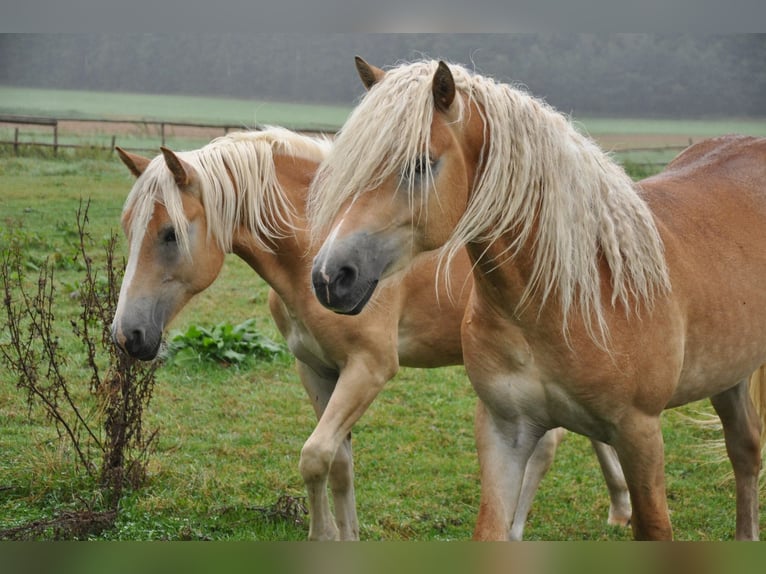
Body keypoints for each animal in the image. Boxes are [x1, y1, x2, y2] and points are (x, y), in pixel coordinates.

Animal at [109, 128, 636, 544]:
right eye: (129, 228)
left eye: (170, 233)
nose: (128, 335)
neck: (316, 250)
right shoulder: (318, 370)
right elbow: (338, 463)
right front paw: (346, 536)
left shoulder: (369, 369)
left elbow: (314, 456)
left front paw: (321, 536)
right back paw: (620, 508)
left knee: (549, 446)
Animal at [310, 56, 766, 544]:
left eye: (419, 164)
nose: (329, 276)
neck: (572, 297)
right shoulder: (505, 431)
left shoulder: (639, 433)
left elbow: (655, 528)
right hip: (728, 374)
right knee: (744, 449)